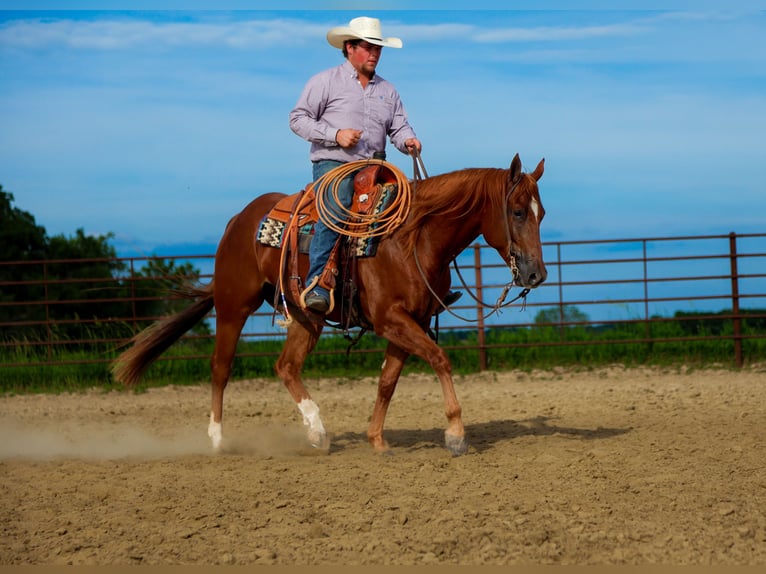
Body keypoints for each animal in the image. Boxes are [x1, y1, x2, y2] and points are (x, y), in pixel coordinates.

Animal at [112, 153, 547, 456]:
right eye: (517, 211)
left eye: (542, 214)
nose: (536, 275)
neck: (413, 239)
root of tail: (239, 219)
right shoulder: (392, 319)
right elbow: (440, 359)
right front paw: (456, 435)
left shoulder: (413, 321)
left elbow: (388, 381)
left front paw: (377, 440)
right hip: (234, 306)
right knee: (221, 368)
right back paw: (218, 439)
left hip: (308, 316)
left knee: (286, 366)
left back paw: (317, 431)